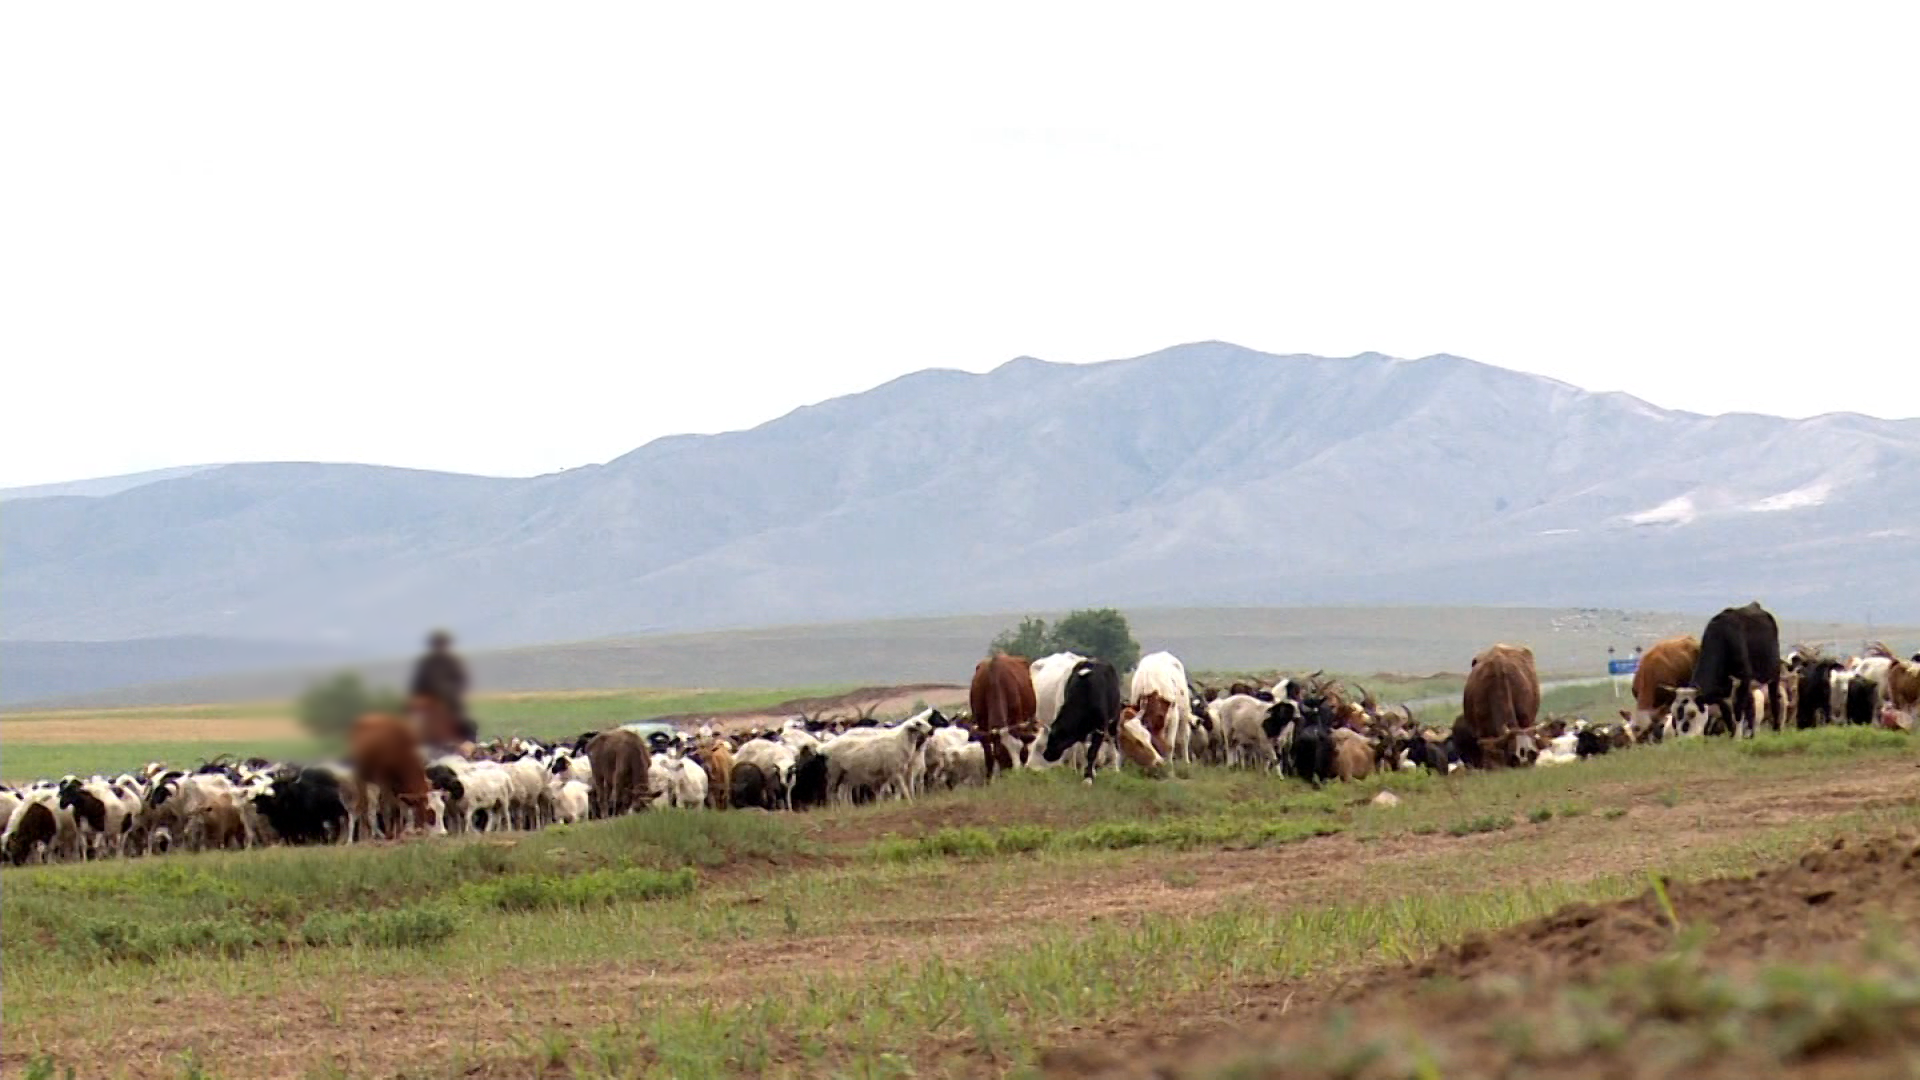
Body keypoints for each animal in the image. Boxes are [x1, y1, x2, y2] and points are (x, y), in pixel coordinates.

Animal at [1689, 599, 1774, 734]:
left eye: (1692, 714)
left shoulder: (1745, 677)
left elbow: (1739, 709)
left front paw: (1738, 735)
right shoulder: (1723, 689)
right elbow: (1727, 712)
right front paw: (1732, 732)